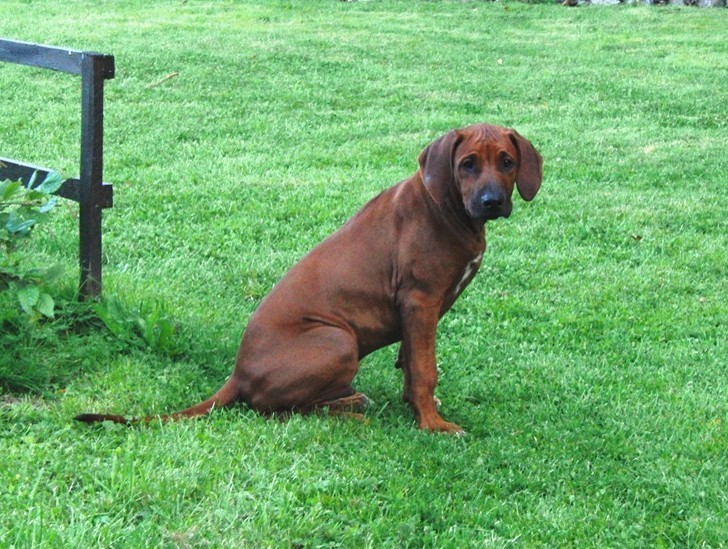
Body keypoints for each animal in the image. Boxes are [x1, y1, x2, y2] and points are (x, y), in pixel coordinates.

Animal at [76, 122, 542, 433]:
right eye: (467, 165)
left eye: (507, 162)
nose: (492, 201)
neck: (448, 208)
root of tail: (237, 374)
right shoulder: (420, 302)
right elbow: (425, 370)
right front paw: (433, 423)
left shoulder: (420, 314)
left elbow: (412, 364)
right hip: (338, 339)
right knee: (276, 410)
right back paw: (351, 408)